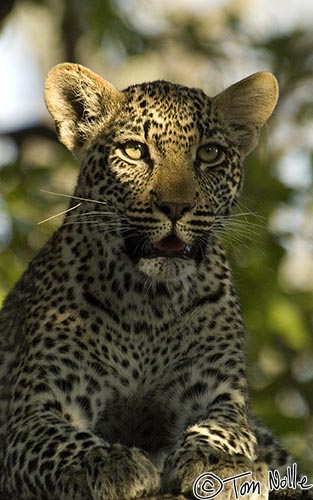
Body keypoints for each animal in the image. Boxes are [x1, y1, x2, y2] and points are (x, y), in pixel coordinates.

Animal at [0, 62, 310, 500]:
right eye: (134, 151)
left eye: (210, 154)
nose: (175, 207)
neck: (149, 303)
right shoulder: (34, 412)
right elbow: (67, 443)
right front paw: (108, 462)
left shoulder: (219, 395)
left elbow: (225, 430)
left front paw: (219, 461)